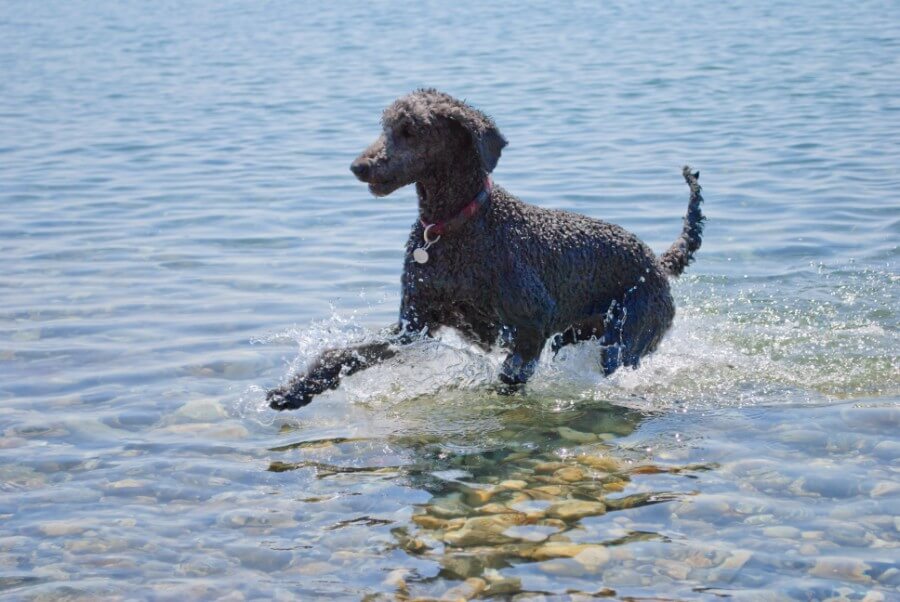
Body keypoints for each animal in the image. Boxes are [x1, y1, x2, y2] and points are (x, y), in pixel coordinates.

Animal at [268, 88, 704, 408]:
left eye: (411, 129)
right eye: (387, 125)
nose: (359, 166)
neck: (452, 228)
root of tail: (657, 261)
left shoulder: (530, 325)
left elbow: (510, 376)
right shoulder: (412, 326)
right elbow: (343, 355)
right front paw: (293, 391)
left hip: (626, 338)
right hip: (577, 335)